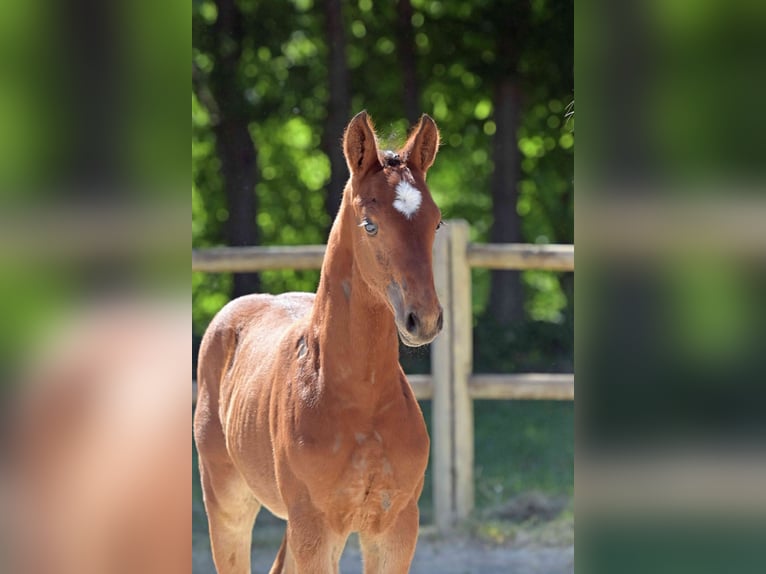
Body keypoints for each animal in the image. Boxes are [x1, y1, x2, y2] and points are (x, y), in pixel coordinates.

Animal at [194, 111, 444, 573]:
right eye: (370, 224)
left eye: (436, 222)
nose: (424, 319)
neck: (360, 399)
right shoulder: (316, 526)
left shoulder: (396, 526)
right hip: (228, 502)